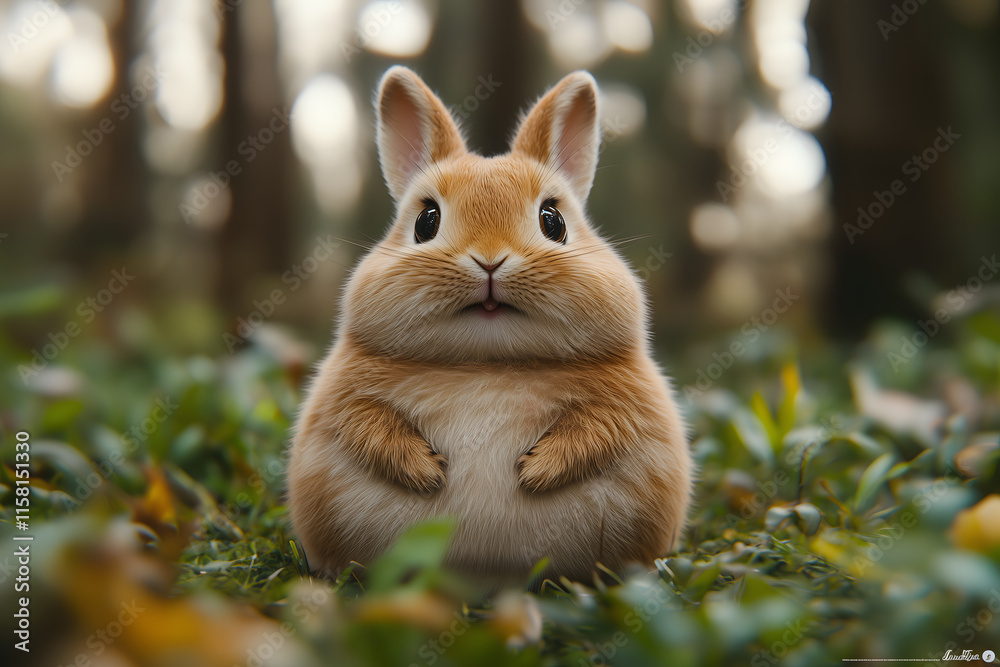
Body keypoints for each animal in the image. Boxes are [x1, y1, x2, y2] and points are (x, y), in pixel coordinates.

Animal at [287, 66, 692, 584]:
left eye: (553, 221)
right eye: (425, 221)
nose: (489, 260)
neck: (487, 359)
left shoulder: (628, 406)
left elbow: (600, 430)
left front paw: (534, 471)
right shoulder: (344, 403)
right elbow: (366, 425)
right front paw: (428, 471)